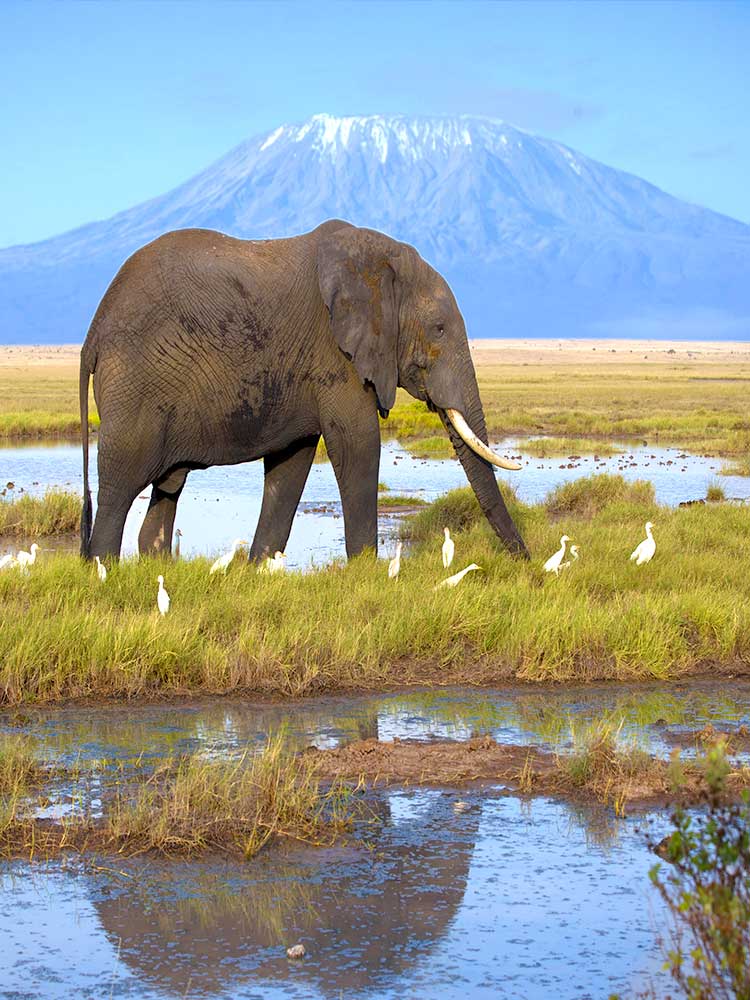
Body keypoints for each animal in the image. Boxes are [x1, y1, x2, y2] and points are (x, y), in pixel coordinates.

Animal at [79, 219, 529, 561]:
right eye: (438, 329)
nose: (525, 562)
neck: (377, 259)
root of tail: (93, 334)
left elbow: (290, 463)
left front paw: (258, 568)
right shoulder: (335, 354)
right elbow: (357, 442)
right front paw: (366, 571)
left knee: (168, 487)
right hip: (134, 381)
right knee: (119, 486)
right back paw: (105, 570)